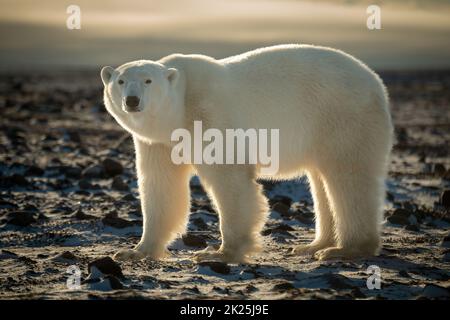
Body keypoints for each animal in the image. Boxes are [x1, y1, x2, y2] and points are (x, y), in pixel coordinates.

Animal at [100, 44, 392, 262]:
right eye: (121, 81)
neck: (180, 108)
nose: (132, 101)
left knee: (348, 177)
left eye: (148, 81)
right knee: (322, 180)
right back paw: (314, 245)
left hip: (341, 115)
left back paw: (345, 249)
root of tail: (376, 81)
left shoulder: (209, 115)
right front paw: (135, 251)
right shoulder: (158, 142)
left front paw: (222, 253)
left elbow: (230, 178)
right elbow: (160, 186)